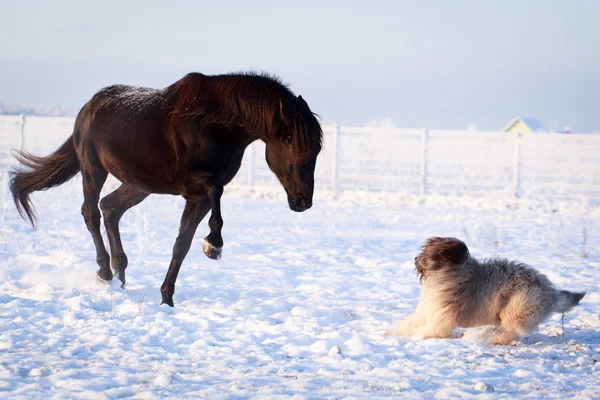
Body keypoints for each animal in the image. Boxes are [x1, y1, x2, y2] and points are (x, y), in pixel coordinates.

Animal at [8, 72, 324, 306]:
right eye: (289, 140)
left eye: (317, 149)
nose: (303, 202)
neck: (214, 123)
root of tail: (88, 108)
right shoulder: (194, 186)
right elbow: (216, 193)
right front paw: (214, 246)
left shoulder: (198, 199)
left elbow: (181, 245)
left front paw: (167, 299)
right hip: (93, 170)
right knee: (91, 213)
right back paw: (105, 272)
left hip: (138, 184)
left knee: (110, 208)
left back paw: (121, 272)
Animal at [386, 238, 584, 344]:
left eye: (431, 254)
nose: (416, 259)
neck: (455, 276)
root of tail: (549, 290)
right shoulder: (426, 313)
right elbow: (408, 324)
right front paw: (390, 332)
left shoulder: (440, 323)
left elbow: (424, 330)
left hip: (517, 308)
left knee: (514, 329)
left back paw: (498, 338)